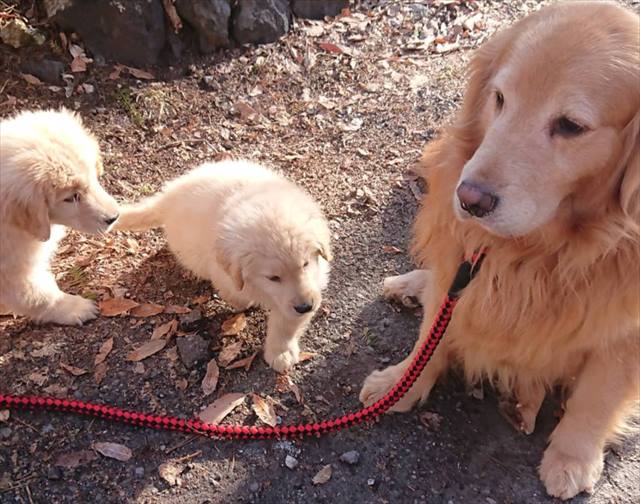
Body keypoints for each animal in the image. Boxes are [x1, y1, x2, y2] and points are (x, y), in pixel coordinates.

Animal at [0, 108, 120, 324]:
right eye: (71, 198)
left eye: (94, 177)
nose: (114, 217)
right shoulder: (12, 273)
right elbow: (38, 295)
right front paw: (76, 308)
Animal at [115, 159, 332, 372]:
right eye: (273, 278)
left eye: (305, 264)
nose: (306, 306)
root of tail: (169, 196)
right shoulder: (224, 275)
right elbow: (236, 295)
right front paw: (246, 304)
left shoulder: (310, 285)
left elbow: (286, 325)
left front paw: (281, 352)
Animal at [362, 1, 636, 500]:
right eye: (500, 99)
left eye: (571, 126)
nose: (469, 199)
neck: (542, 249)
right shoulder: (460, 263)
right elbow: (430, 337)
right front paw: (400, 383)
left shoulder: (626, 332)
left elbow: (597, 397)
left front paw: (572, 458)